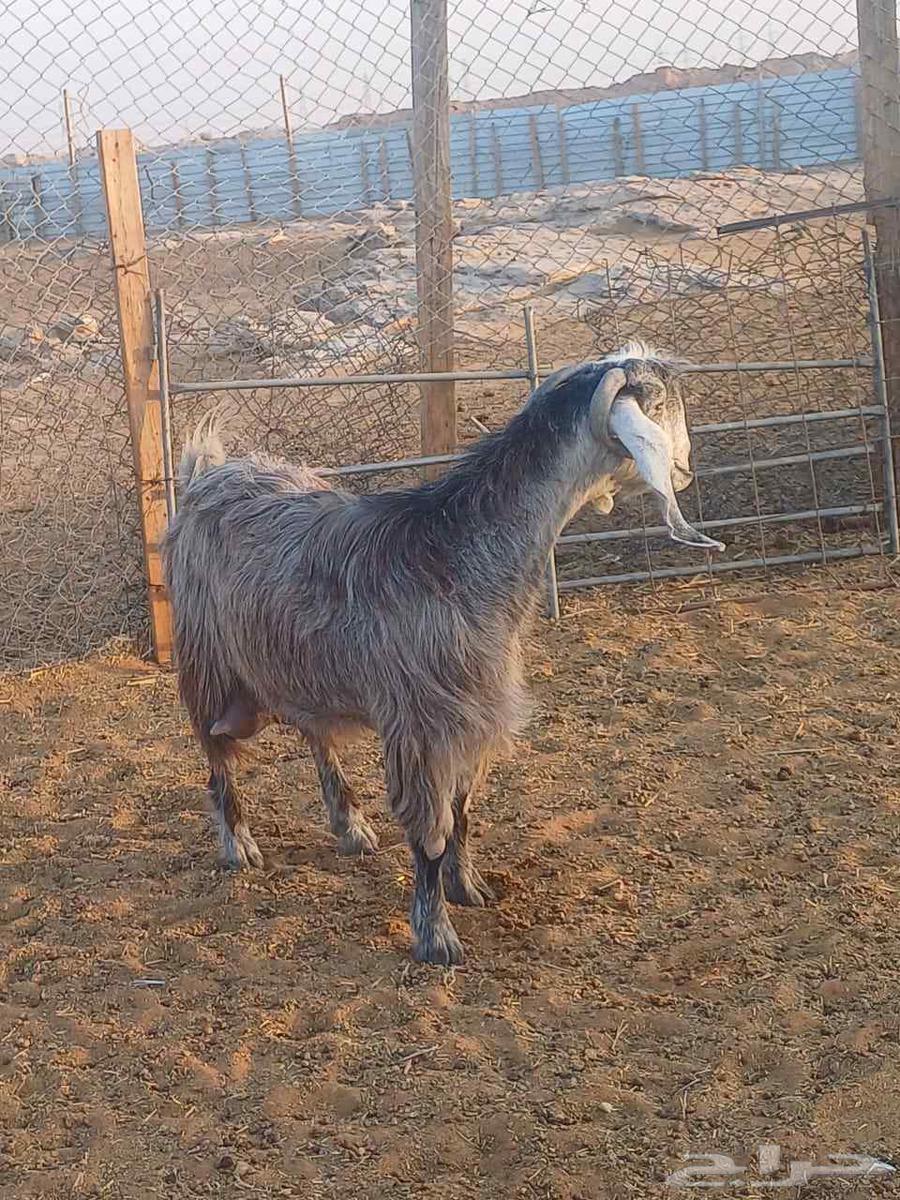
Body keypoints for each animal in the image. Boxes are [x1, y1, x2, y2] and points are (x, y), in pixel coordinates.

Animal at [163, 344, 723, 964]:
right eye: (660, 404)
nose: (686, 469)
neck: (461, 556)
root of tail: (209, 474)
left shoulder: (472, 720)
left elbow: (461, 813)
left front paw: (467, 886)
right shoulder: (424, 725)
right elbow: (429, 832)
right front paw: (435, 936)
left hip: (299, 663)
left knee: (314, 733)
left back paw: (349, 825)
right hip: (209, 659)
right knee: (217, 751)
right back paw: (238, 843)